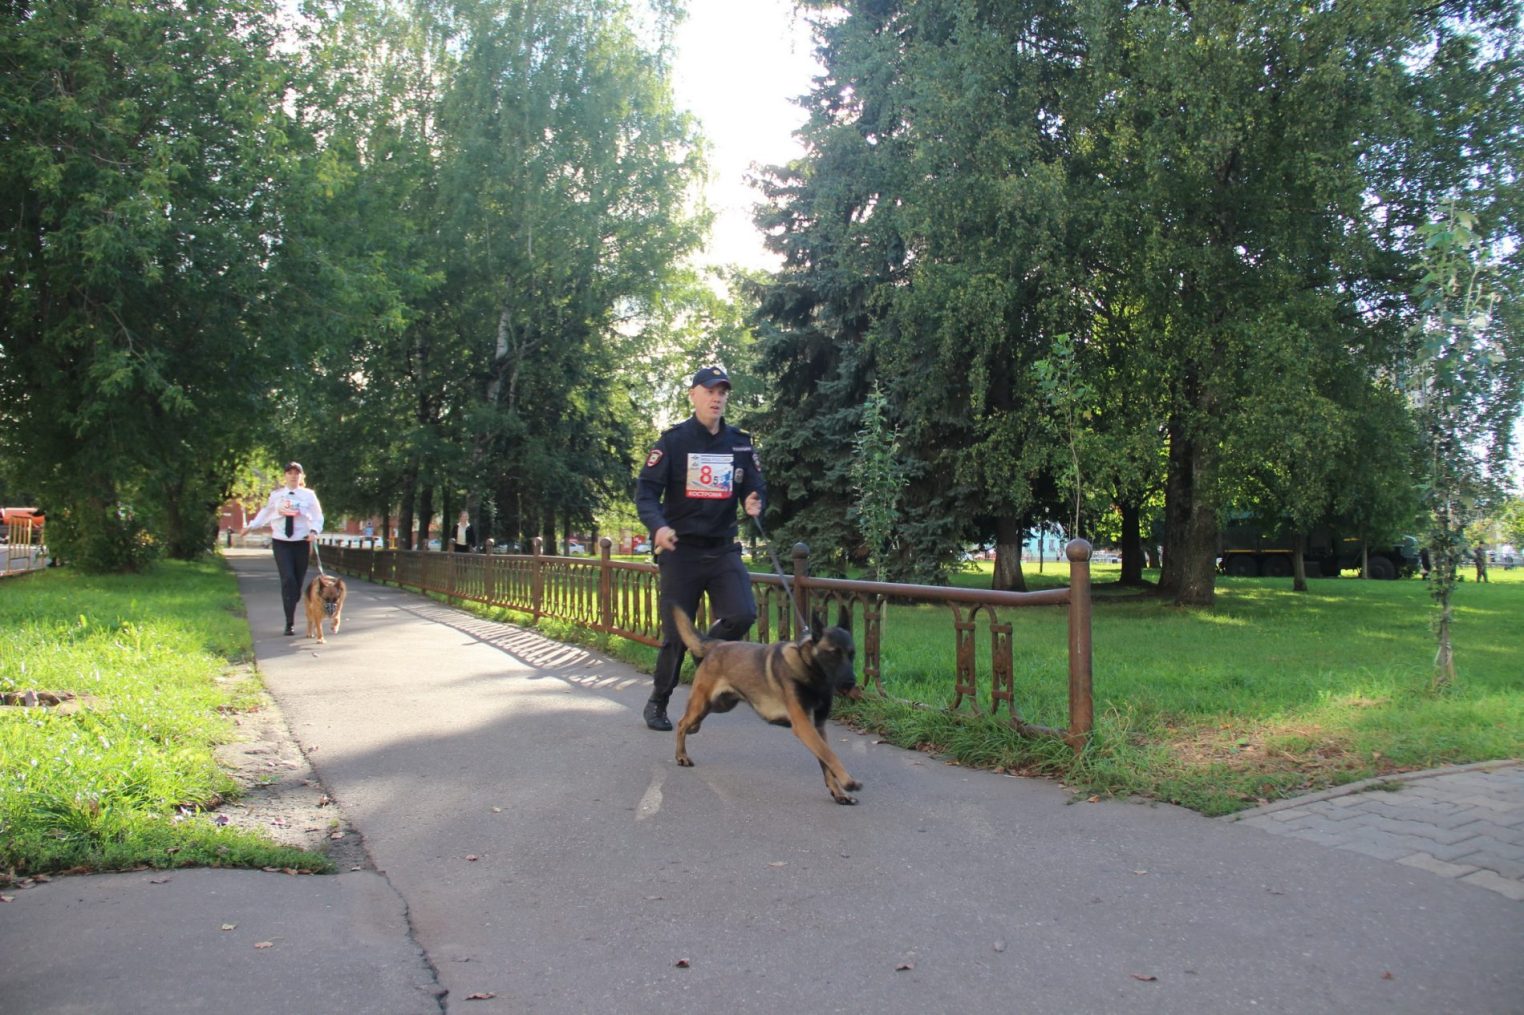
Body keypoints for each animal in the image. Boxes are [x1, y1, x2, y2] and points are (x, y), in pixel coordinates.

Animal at [673, 603, 865, 804]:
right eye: (833, 654)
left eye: (852, 654)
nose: (851, 682)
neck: (809, 668)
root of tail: (718, 643)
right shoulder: (804, 726)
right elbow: (829, 754)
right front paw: (848, 781)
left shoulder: (818, 727)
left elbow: (825, 759)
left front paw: (839, 792)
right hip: (703, 703)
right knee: (682, 722)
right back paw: (681, 755)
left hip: (720, 705)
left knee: (691, 721)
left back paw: (693, 730)